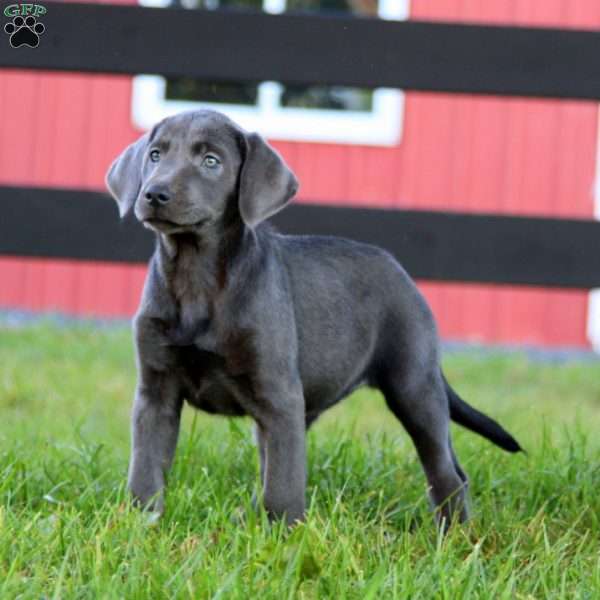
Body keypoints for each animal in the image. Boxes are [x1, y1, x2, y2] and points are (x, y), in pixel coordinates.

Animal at [104, 109, 520, 528]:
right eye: (155, 155)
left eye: (211, 161)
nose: (154, 193)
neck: (196, 276)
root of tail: (404, 276)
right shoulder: (156, 392)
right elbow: (147, 468)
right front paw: (141, 524)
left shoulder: (279, 394)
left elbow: (284, 487)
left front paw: (282, 534)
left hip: (413, 384)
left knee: (445, 472)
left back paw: (454, 534)